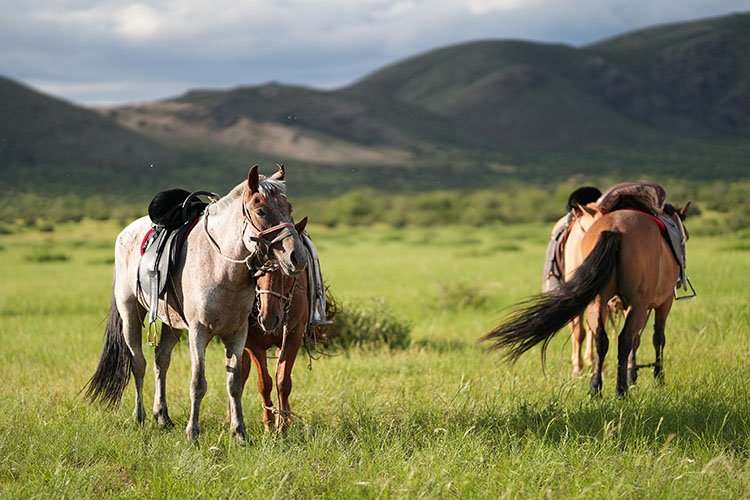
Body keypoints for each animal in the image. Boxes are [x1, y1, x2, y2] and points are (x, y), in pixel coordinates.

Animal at [85, 165, 308, 443]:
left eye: (289, 208)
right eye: (260, 211)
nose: (297, 256)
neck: (221, 268)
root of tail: (126, 231)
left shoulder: (238, 334)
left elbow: (234, 384)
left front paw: (240, 433)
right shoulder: (198, 331)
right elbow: (198, 383)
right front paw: (193, 433)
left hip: (172, 324)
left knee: (161, 361)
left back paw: (162, 417)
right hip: (130, 314)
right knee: (139, 363)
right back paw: (140, 417)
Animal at [483, 202, 691, 396]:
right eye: (685, 237)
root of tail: (615, 229)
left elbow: (635, 339)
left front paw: (632, 374)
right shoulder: (662, 303)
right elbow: (657, 339)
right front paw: (658, 377)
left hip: (597, 301)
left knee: (600, 338)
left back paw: (594, 386)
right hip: (633, 304)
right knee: (621, 339)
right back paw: (620, 390)